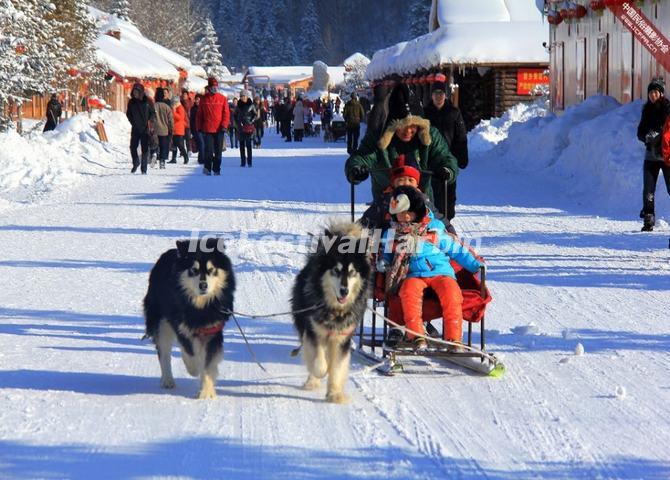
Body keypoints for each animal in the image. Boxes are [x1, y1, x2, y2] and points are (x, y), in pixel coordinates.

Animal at [143, 238, 235, 400]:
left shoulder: (213, 330)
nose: (203, 285)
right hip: (160, 322)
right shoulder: (180, 326)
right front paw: (194, 369)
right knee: (164, 353)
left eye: (211, 270)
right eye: (194, 270)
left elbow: (208, 363)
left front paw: (206, 392)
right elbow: (190, 352)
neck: (200, 307)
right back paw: (167, 380)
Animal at [292, 223, 372, 404]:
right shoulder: (313, 331)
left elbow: (337, 367)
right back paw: (312, 382)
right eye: (336, 270)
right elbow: (319, 363)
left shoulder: (342, 339)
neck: (335, 311)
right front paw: (321, 373)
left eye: (352, 272)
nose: (344, 291)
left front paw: (335, 393)